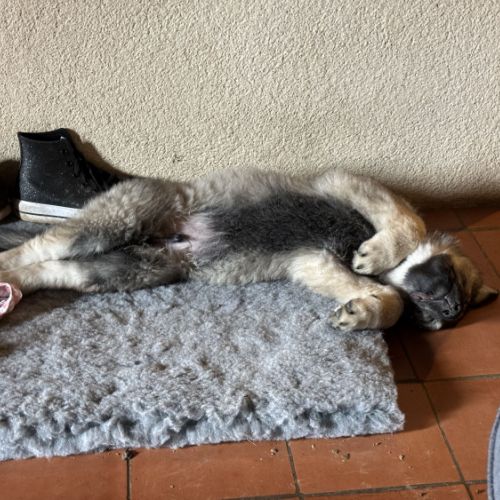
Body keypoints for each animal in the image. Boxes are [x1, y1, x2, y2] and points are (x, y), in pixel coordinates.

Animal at [0, 168, 497, 331]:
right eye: (455, 283)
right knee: (36, 248)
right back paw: (5, 269)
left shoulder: (313, 262)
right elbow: (408, 223)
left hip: (126, 269)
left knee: (49, 268)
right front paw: (379, 252)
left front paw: (365, 313)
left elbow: (389, 297)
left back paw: (13, 287)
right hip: (116, 221)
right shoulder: (347, 184)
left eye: (457, 314)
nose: (451, 313)